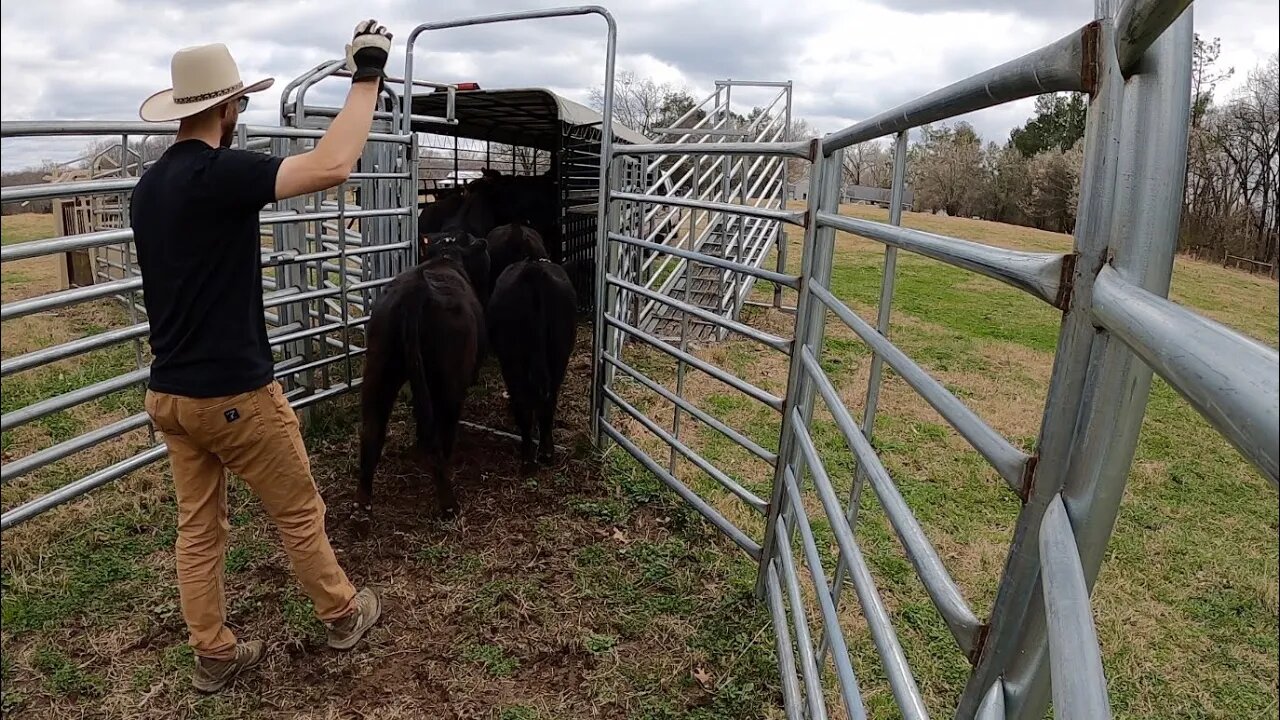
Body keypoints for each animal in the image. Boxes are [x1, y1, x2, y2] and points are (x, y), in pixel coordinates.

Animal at [360, 229, 488, 515]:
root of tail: (416, 290)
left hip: (379, 370)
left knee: (372, 427)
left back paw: (362, 502)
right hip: (450, 381)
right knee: (444, 426)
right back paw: (448, 502)